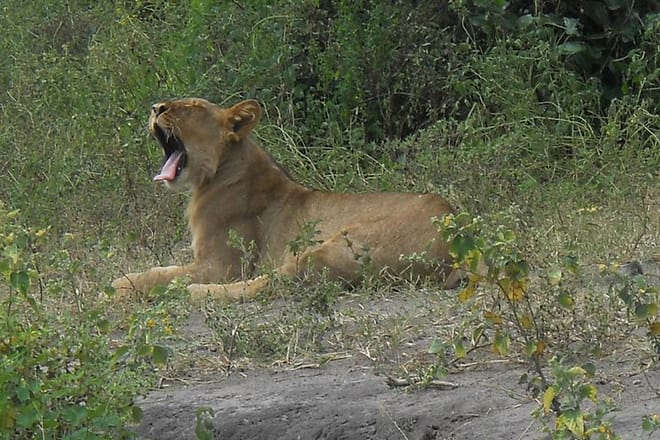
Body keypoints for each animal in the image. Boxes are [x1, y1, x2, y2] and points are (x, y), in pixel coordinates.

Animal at [113, 98, 464, 302]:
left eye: (192, 108)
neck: (218, 170)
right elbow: (162, 267)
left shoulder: (223, 265)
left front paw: (118, 288)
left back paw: (197, 293)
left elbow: (161, 274)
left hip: (338, 244)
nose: (155, 108)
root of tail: (459, 235)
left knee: (267, 283)